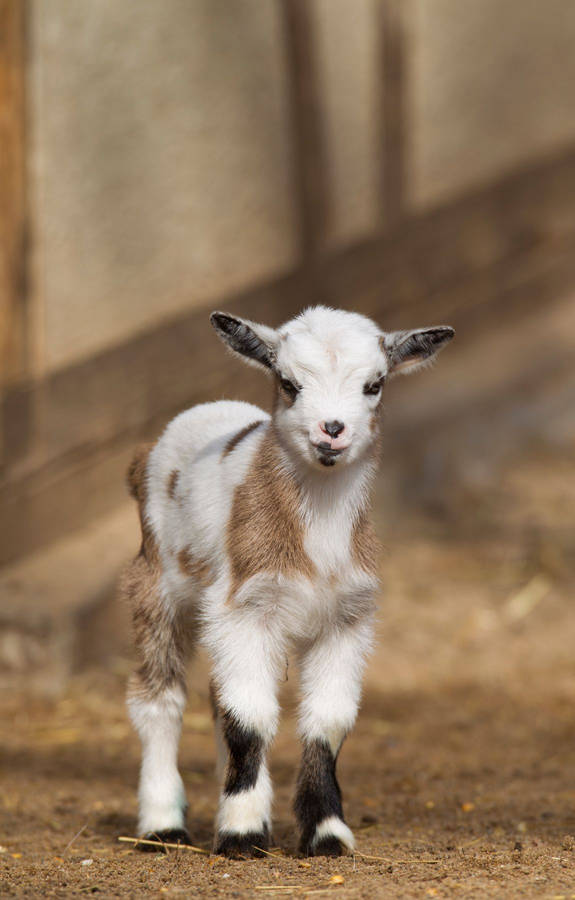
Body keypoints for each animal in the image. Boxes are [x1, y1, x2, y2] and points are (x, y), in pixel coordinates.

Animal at [122, 304, 454, 856]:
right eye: (288, 382)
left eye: (375, 384)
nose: (332, 429)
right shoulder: (246, 606)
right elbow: (250, 719)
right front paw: (241, 833)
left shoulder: (347, 619)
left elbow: (326, 723)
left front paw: (326, 833)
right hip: (156, 582)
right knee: (159, 697)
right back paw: (162, 825)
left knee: (215, 697)